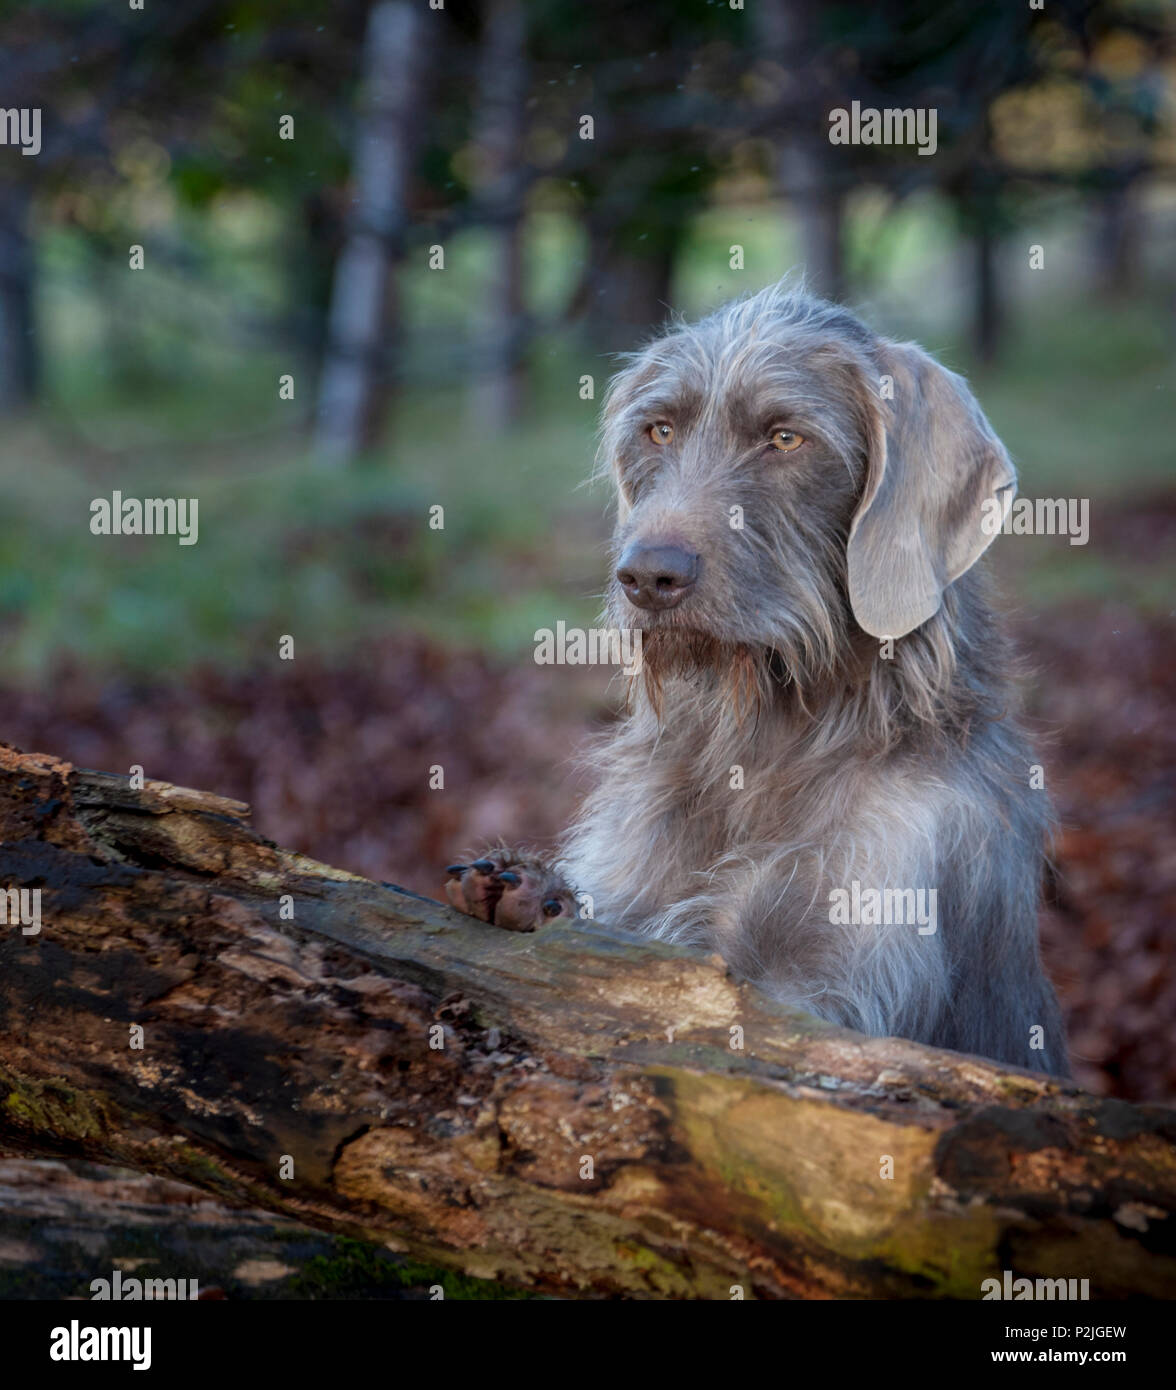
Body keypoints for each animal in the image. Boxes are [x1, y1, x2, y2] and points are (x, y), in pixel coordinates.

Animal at [447, 273, 1073, 1073]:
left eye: (785, 438)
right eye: (660, 430)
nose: (646, 577)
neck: (761, 742)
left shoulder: (829, 988)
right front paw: (538, 891)